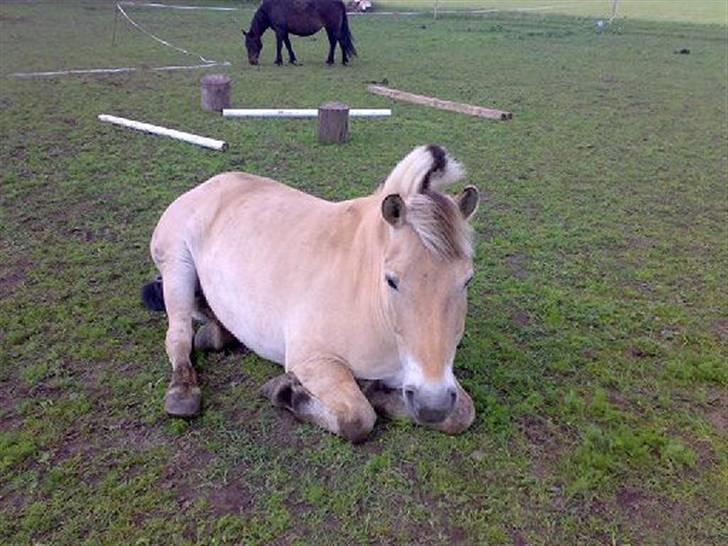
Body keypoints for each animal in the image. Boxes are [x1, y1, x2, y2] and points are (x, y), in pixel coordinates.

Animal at [143, 144, 480, 442]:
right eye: (391, 281)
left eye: (466, 280)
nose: (432, 403)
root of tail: (209, 185)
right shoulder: (314, 362)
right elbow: (358, 418)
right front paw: (287, 393)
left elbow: (463, 413)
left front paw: (379, 394)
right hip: (177, 266)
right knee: (179, 335)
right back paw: (182, 392)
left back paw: (216, 334)